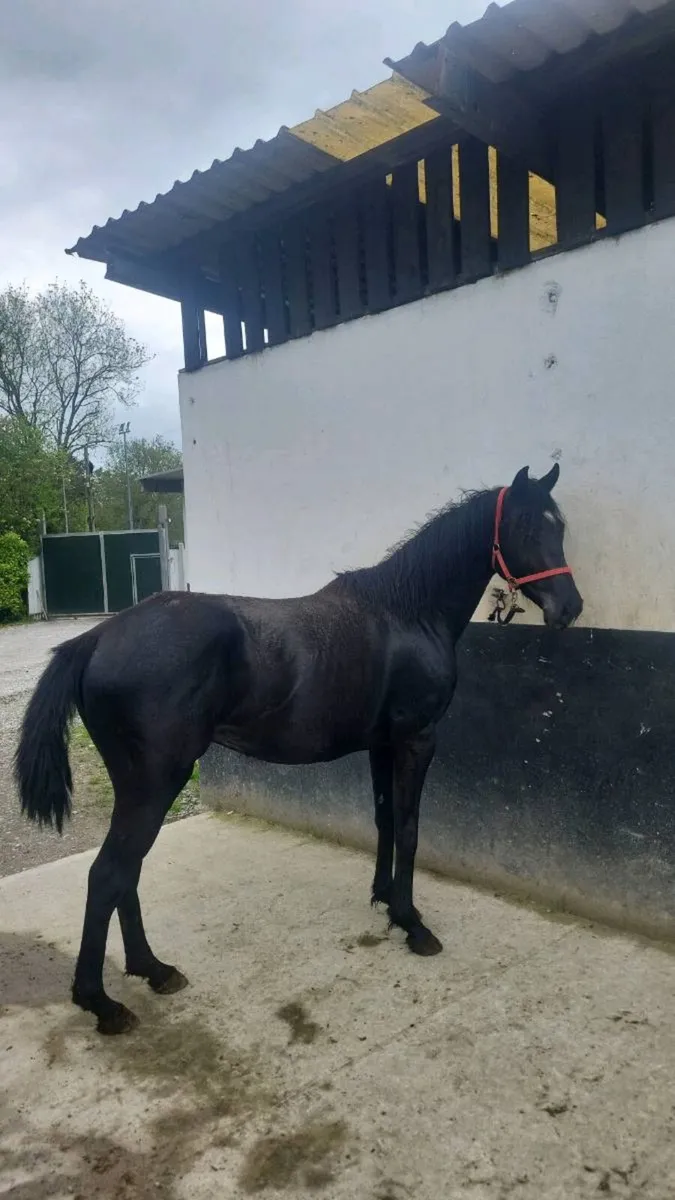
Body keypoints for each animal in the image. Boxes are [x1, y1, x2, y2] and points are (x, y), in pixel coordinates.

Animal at [15, 464, 582, 1035]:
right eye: (526, 526)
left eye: (559, 526)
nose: (570, 608)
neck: (408, 614)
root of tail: (95, 638)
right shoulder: (416, 740)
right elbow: (410, 828)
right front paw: (411, 923)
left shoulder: (381, 744)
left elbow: (384, 820)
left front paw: (383, 899)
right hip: (158, 780)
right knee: (109, 874)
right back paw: (101, 1001)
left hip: (138, 786)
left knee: (125, 873)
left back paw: (152, 969)